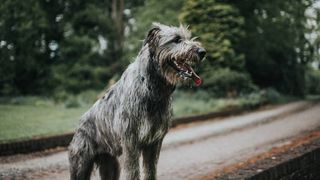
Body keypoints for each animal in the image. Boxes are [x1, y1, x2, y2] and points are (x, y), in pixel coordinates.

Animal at [68, 22, 206, 180]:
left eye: (188, 37)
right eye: (177, 39)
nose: (202, 52)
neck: (152, 88)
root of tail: (79, 123)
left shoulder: (154, 143)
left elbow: (150, 171)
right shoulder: (130, 142)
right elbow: (133, 172)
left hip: (110, 165)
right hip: (81, 164)